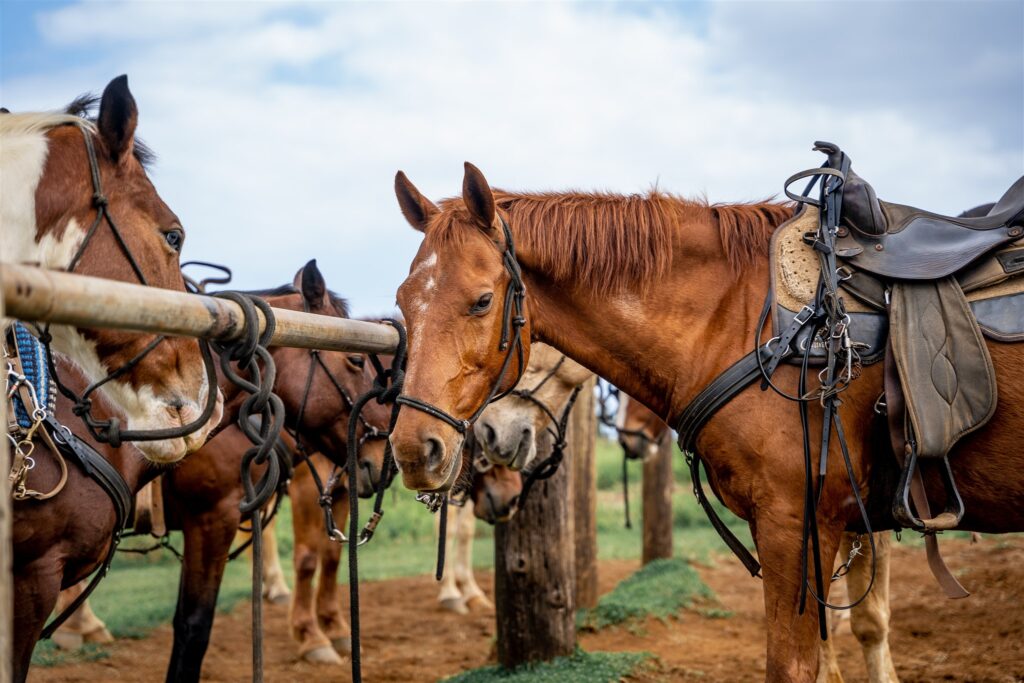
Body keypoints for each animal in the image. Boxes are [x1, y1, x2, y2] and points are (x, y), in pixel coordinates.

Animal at [387, 163, 1023, 682]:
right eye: (402, 303)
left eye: (482, 302)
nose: (417, 450)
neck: (748, 322)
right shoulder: (834, 526)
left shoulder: (801, 523)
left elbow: (813, 654)